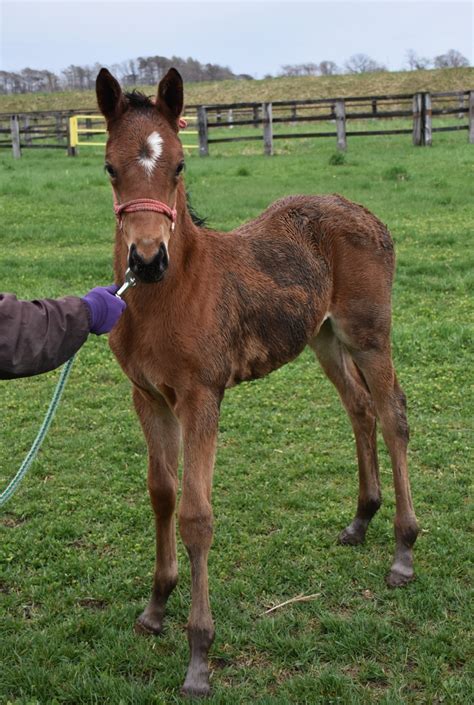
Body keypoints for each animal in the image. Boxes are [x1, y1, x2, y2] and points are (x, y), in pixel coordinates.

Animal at [95, 69, 418, 696]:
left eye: (179, 165)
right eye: (109, 168)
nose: (146, 260)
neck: (168, 295)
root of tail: (363, 211)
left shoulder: (201, 396)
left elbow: (196, 515)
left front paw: (199, 656)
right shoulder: (147, 397)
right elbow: (162, 493)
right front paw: (155, 607)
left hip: (368, 333)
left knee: (393, 414)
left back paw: (402, 551)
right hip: (323, 337)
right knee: (360, 408)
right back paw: (360, 520)